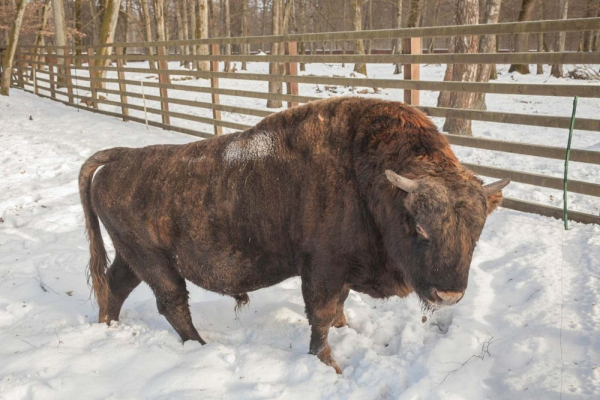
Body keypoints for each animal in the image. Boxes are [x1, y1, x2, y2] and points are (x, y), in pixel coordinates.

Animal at [79, 96, 508, 372]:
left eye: (478, 231)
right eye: (419, 226)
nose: (448, 294)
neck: (368, 179)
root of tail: (120, 158)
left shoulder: (341, 272)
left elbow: (338, 310)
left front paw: (345, 334)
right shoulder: (322, 269)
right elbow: (320, 315)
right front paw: (329, 366)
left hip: (132, 258)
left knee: (115, 287)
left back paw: (109, 326)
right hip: (154, 262)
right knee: (172, 303)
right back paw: (201, 347)